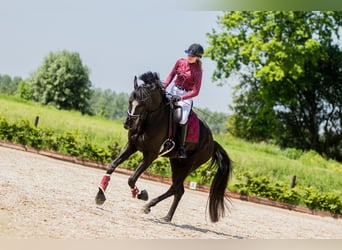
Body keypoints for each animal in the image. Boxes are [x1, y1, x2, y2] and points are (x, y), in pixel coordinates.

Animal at [95, 71, 231, 222]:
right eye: (130, 100)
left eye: (143, 103)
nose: (128, 123)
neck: (148, 121)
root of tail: (212, 142)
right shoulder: (131, 146)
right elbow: (112, 165)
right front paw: (100, 195)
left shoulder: (151, 155)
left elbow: (132, 179)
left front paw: (140, 194)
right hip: (176, 163)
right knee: (179, 190)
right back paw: (167, 217)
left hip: (189, 165)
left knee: (175, 188)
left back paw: (148, 205)